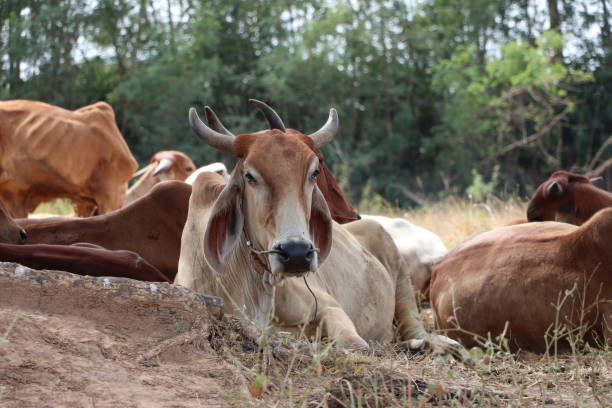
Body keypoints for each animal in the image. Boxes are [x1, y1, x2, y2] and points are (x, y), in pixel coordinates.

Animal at [175, 99, 470, 360]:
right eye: (250, 176)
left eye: (314, 172)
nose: (296, 253)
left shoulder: (330, 308)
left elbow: (355, 346)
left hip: (399, 274)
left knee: (413, 327)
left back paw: (436, 345)